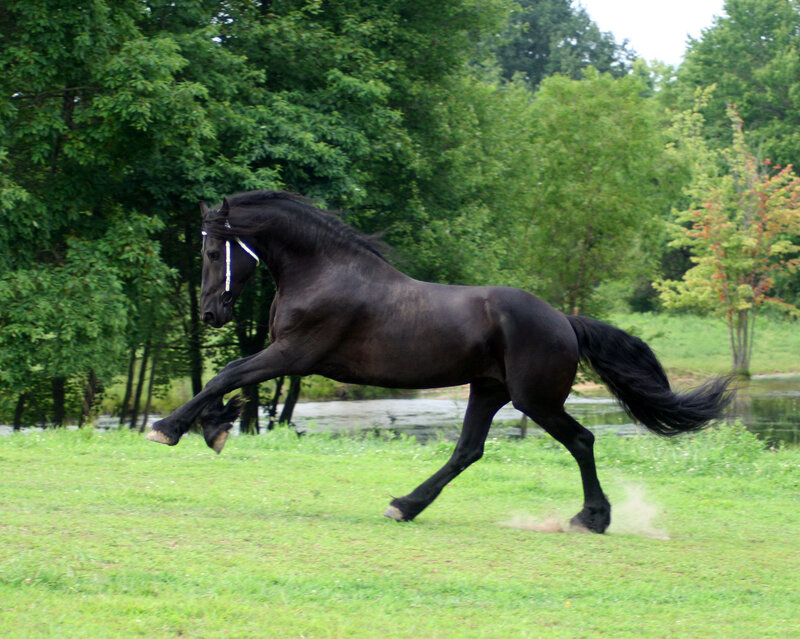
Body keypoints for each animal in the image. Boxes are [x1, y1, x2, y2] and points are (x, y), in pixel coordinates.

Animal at [148, 190, 733, 533]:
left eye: (211, 251)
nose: (212, 312)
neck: (325, 272)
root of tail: (563, 321)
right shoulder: (286, 357)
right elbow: (234, 382)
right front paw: (213, 427)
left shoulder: (294, 353)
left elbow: (228, 373)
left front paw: (169, 428)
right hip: (488, 390)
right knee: (468, 451)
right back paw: (405, 505)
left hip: (535, 399)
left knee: (582, 441)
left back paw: (591, 518)